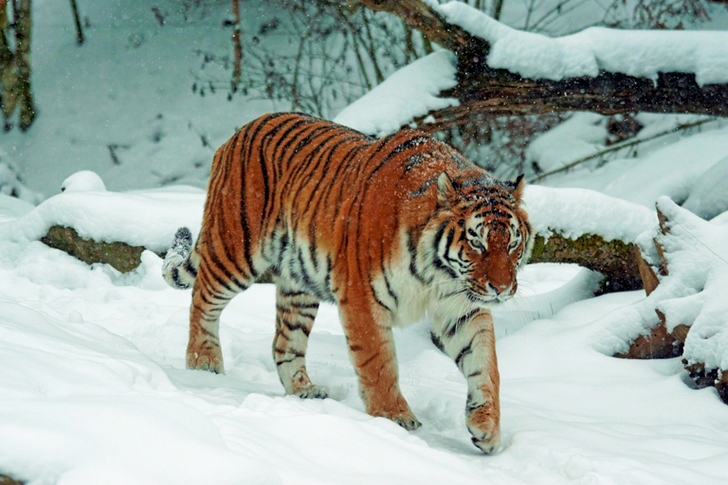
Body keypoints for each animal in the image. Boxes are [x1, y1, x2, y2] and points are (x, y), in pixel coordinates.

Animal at [162, 112, 533, 454]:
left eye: (512, 243)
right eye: (477, 242)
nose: (502, 288)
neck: (438, 274)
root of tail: (239, 131)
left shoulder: (462, 306)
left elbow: (485, 363)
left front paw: (487, 427)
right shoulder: (362, 297)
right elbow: (379, 363)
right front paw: (393, 417)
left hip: (298, 285)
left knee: (284, 342)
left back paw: (304, 391)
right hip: (235, 249)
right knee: (202, 298)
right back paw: (203, 362)